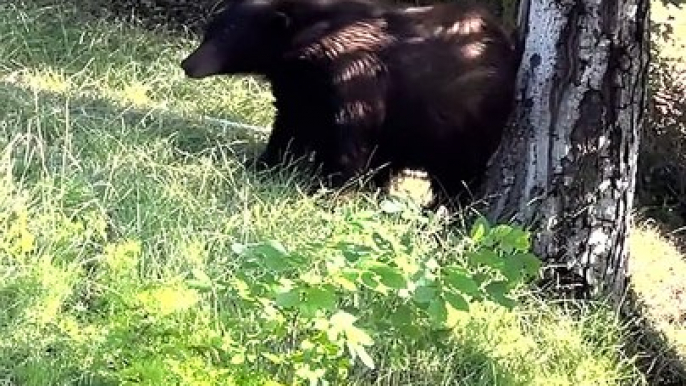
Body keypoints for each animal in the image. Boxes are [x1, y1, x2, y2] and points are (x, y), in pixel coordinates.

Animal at [180, 0, 520, 205]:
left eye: (226, 34)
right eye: (210, 30)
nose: (187, 64)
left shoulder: (353, 76)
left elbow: (350, 135)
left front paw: (331, 189)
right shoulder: (298, 88)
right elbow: (289, 127)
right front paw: (263, 163)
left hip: (466, 128)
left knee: (458, 178)